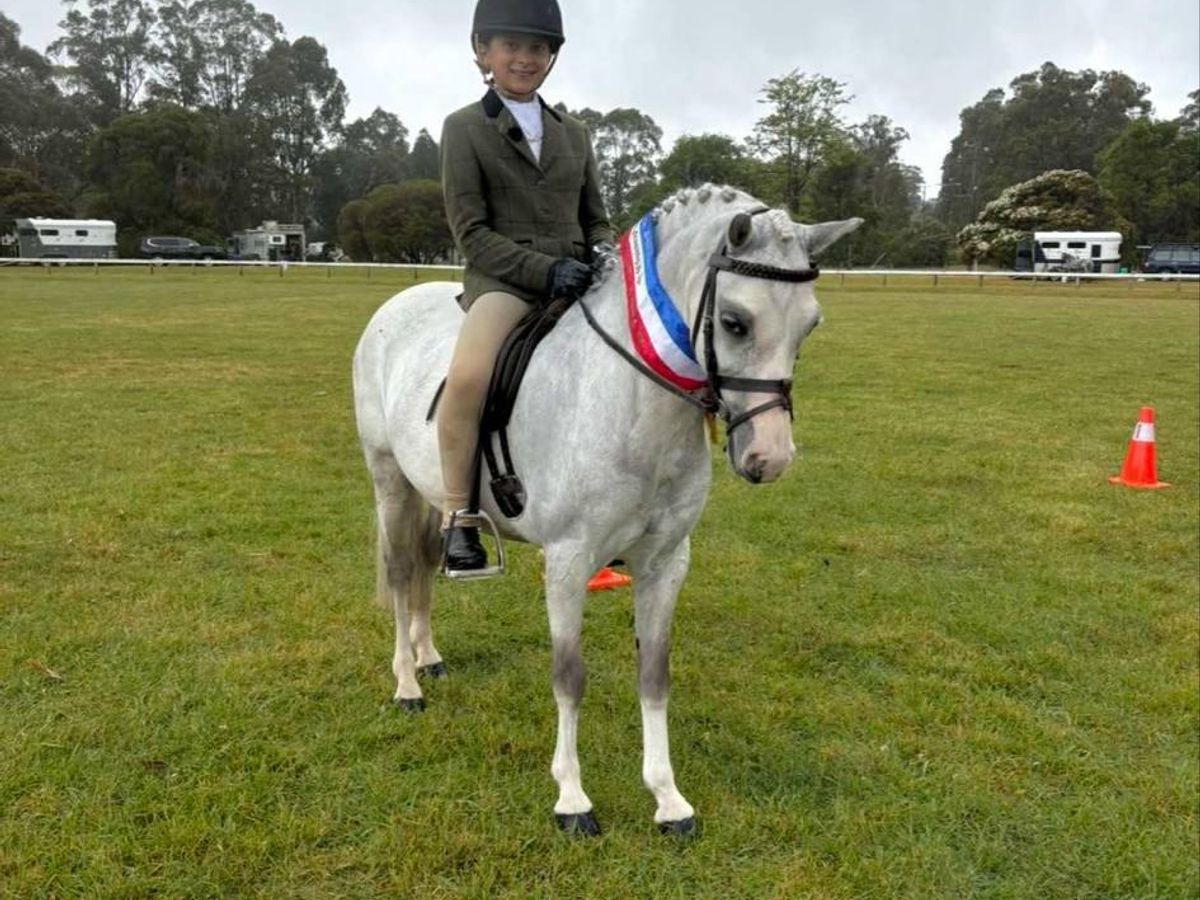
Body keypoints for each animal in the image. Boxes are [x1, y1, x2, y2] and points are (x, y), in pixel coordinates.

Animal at [352, 184, 861, 836]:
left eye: (810, 326)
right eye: (734, 321)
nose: (769, 458)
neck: (633, 402)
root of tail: (400, 301)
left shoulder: (666, 563)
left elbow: (655, 675)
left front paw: (669, 800)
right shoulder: (569, 562)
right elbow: (570, 678)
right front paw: (573, 800)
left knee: (422, 568)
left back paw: (429, 657)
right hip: (389, 480)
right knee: (399, 573)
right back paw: (407, 685)